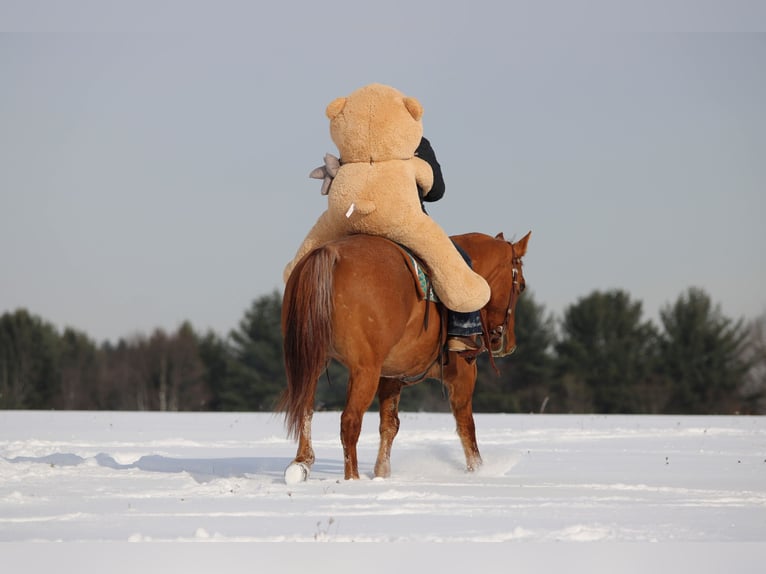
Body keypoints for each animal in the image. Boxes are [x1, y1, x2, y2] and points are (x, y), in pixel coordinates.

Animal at [279, 231, 530, 482]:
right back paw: (353, 479)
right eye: (521, 286)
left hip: (312, 364)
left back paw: (301, 464)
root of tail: (330, 253)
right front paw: (478, 470)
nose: (508, 343)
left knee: (306, 409)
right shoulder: (463, 377)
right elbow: (466, 427)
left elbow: (390, 425)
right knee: (350, 420)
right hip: (364, 371)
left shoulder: (391, 379)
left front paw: (382, 473)